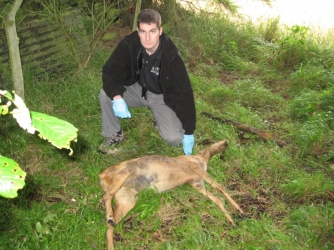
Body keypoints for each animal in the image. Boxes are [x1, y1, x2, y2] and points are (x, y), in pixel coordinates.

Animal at [98, 140, 243, 249]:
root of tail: (102, 176)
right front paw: (239, 211)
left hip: (127, 199)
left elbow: (217, 199)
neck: (201, 158)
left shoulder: (197, 183)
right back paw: (109, 217)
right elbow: (220, 188)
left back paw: (111, 234)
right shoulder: (199, 172)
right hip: (124, 172)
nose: (226, 142)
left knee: (109, 227)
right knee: (106, 196)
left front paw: (233, 218)